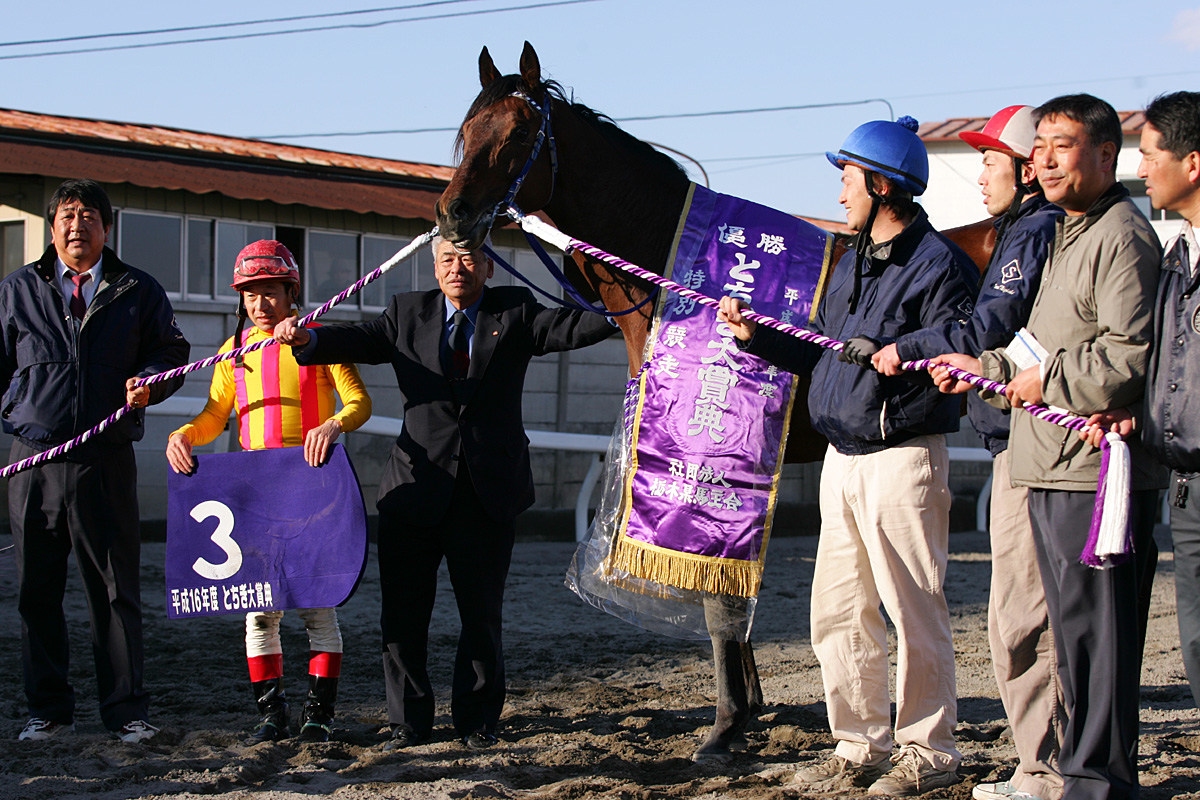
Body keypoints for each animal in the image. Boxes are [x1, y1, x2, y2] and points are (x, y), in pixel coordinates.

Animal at [436, 38, 998, 762]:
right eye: (467, 131)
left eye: (519, 132)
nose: (452, 215)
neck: (679, 277)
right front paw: (748, 706)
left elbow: (717, 603)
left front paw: (728, 723)